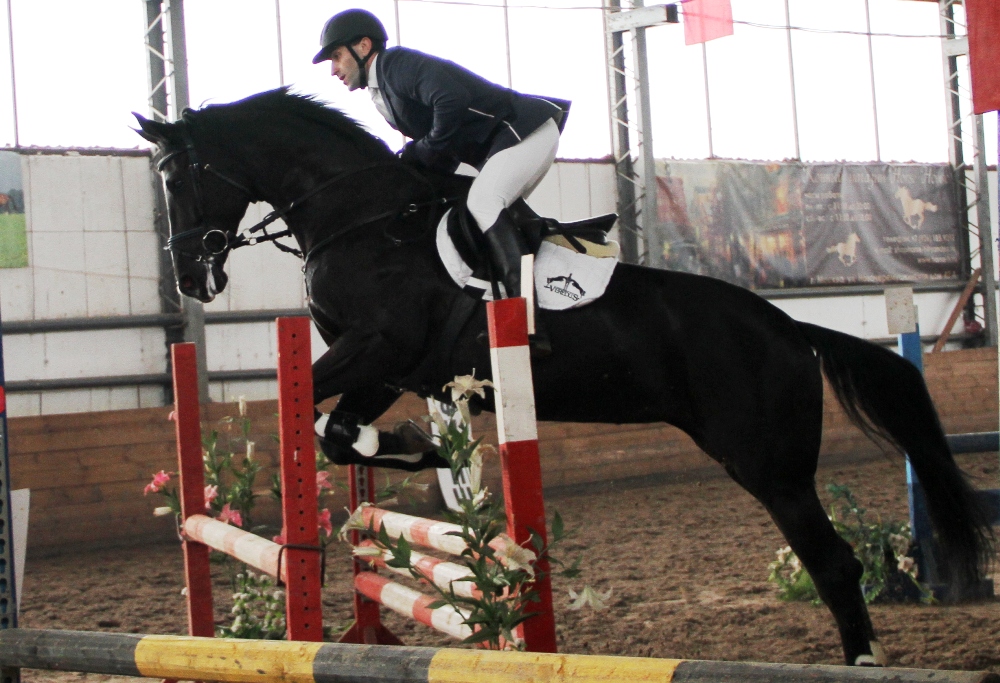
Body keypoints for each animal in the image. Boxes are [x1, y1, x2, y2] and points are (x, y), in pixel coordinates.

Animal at [133, 88, 994, 666]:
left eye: (179, 178)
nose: (194, 278)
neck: (361, 219)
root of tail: (791, 330)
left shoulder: (381, 345)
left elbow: (314, 412)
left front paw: (423, 452)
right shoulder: (393, 363)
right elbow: (338, 429)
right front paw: (424, 449)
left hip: (769, 466)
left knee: (835, 562)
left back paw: (862, 660)